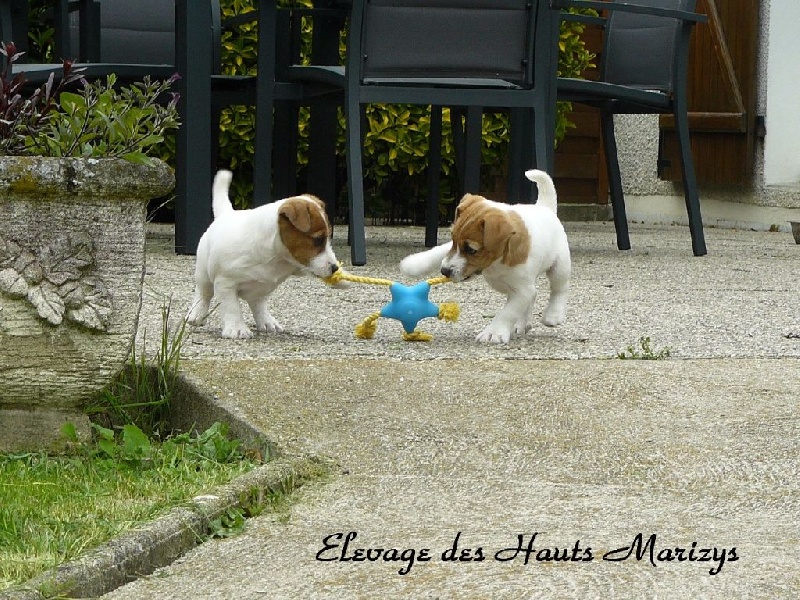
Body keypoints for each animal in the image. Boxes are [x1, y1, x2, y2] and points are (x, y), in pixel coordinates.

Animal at [187, 170, 338, 338]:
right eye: (318, 240)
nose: (335, 268)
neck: (275, 256)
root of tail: (226, 214)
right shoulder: (225, 283)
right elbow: (232, 307)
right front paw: (237, 329)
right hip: (203, 273)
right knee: (203, 293)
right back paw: (196, 314)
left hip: (261, 288)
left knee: (258, 303)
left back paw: (266, 321)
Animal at [400, 171, 568, 344]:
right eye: (453, 240)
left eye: (471, 250)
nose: (444, 271)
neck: (495, 264)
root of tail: (544, 208)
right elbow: (439, 251)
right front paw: (414, 264)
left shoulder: (522, 291)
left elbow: (507, 312)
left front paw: (493, 332)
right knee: (535, 295)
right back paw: (522, 324)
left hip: (559, 267)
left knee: (558, 290)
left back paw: (553, 315)